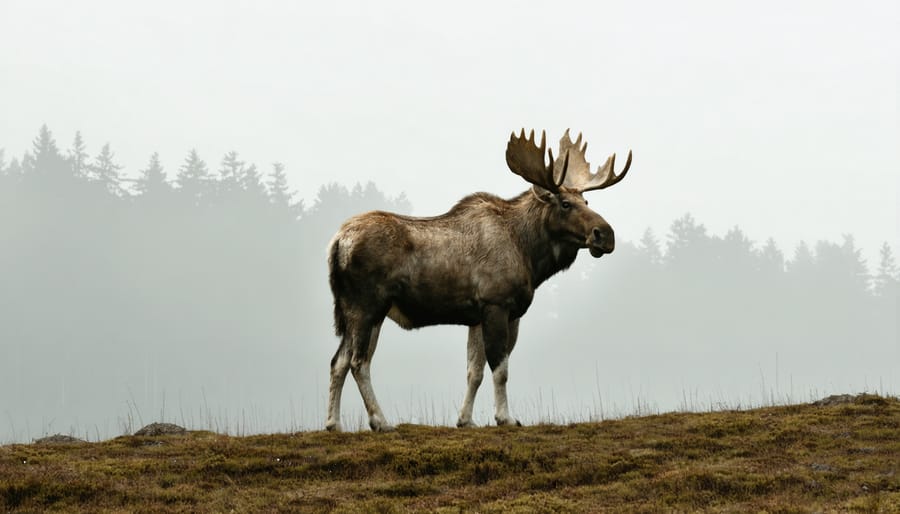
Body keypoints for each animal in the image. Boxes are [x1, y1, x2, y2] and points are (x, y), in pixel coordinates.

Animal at [326, 129, 632, 431]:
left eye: (587, 202)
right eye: (566, 204)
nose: (605, 234)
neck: (529, 254)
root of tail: (337, 241)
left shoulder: (483, 315)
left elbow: (475, 371)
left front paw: (465, 419)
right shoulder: (497, 304)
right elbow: (500, 369)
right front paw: (505, 418)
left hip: (356, 310)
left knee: (338, 361)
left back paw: (333, 423)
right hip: (368, 306)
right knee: (358, 361)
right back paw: (380, 421)